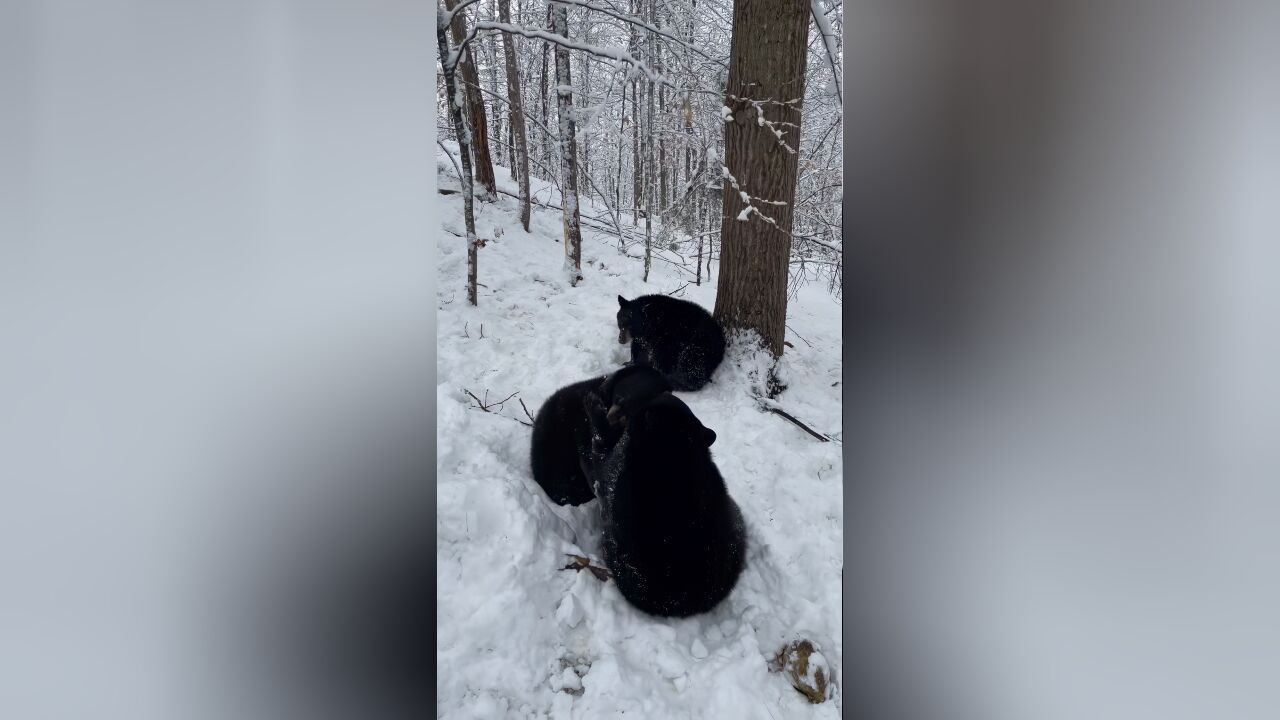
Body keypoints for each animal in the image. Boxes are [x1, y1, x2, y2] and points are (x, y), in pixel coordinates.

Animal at [583, 389, 747, 614]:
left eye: (643, 403)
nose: (621, 400)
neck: (672, 459)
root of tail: (680, 604)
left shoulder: (607, 478)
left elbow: (598, 447)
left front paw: (595, 409)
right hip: (735, 520)